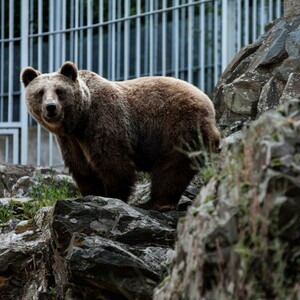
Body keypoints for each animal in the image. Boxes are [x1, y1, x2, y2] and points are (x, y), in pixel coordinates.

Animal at [19, 61, 219, 210]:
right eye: (40, 92)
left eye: (60, 91)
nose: (51, 107)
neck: (79, 121)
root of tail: (209, 103)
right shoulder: (70, 141)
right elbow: (82, 169)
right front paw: (92, 194)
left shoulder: (104, 121)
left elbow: (114, 162)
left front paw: (113, 197)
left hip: (178, 124)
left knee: (172, 166)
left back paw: (155, 202)